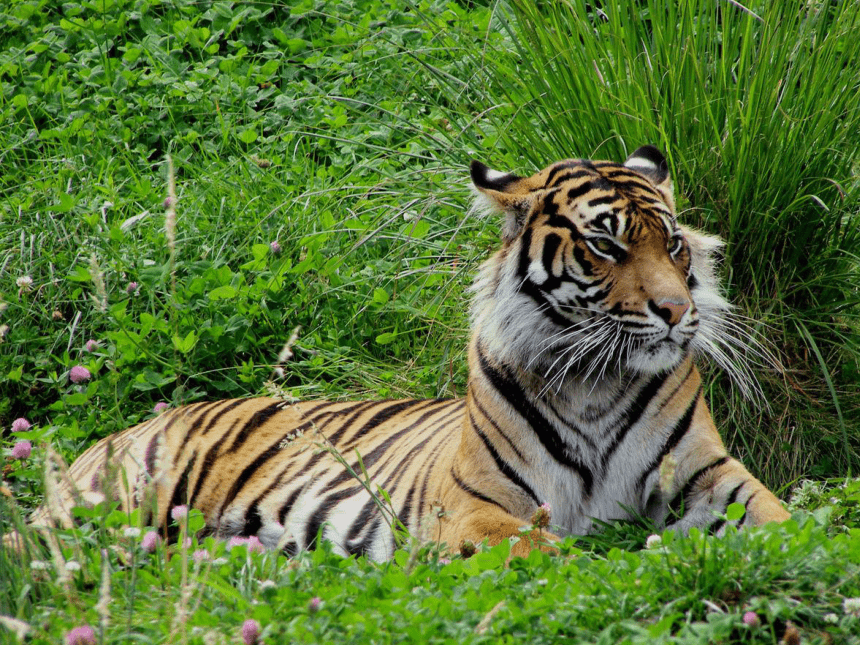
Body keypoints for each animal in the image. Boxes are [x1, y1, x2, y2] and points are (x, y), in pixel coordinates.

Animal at [16, 146, 788, 560]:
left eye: (675, 243)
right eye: (606, 244)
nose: (679, 313)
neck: (597, 380)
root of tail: (126, 428)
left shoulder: (708, 477)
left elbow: (783, 518)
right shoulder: (478, 504)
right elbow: (539, 546)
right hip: (109, 504)